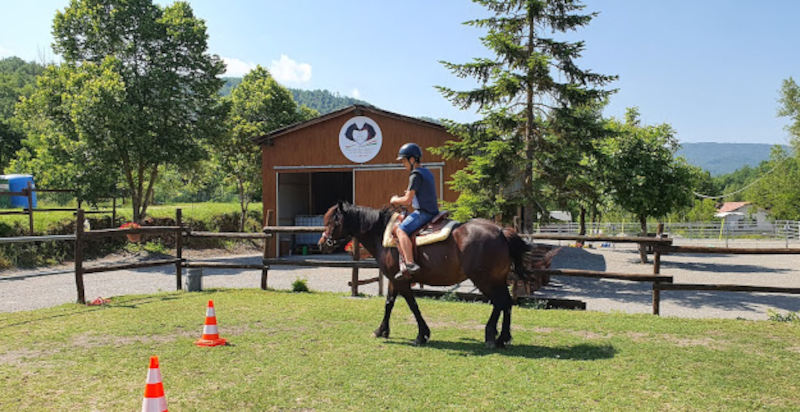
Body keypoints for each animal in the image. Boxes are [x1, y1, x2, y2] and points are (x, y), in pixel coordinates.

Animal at [318, 201, 558, 348]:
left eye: (332, 222)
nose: (322, 244)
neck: (384, 234)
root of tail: (500, 231)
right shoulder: (395, 280)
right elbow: (389, 304)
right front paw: (382, 330)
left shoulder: (402, 282)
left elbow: (412, 306)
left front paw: (421, 334)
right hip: (497, 280)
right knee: (506, 303)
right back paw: (502, 337)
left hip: (485, 280)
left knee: (500, 303)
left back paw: (492, 335)